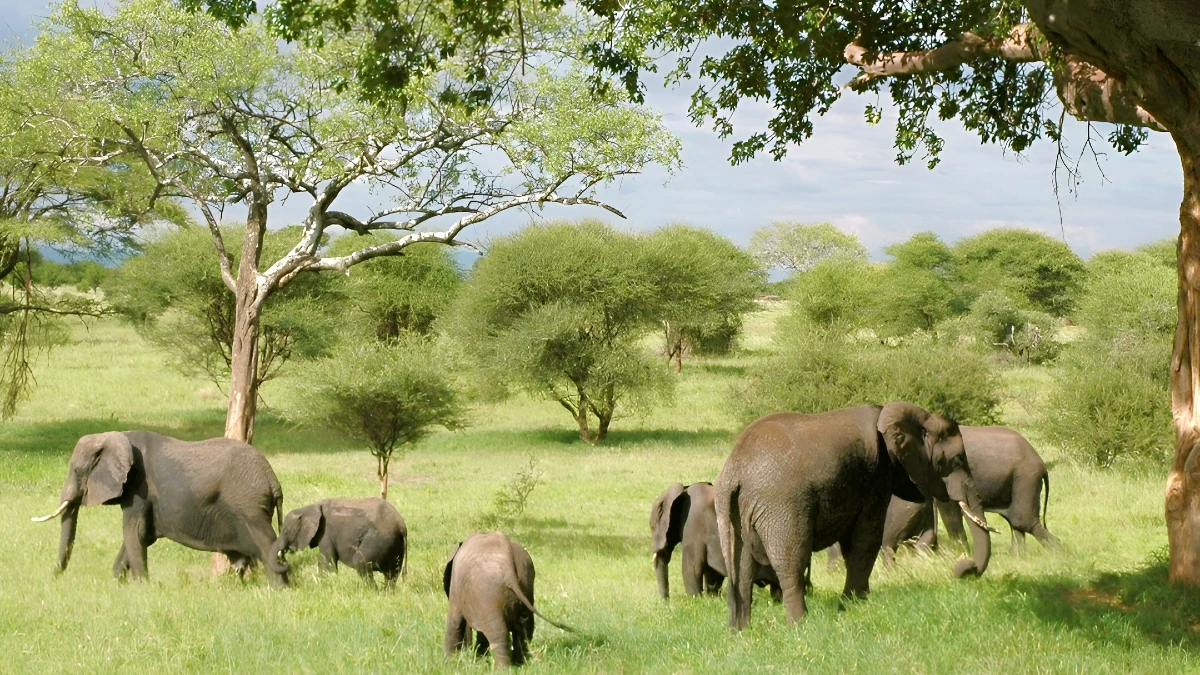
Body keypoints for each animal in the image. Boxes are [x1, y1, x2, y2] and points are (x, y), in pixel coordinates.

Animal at [31, 431, 287, 585]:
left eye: (77, 471)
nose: (53, 579)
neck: (115, 436)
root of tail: (272, 478)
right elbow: (140, 535)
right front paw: (118, 583)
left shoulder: (139, 489)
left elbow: (134, 533)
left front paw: (141, 586)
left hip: (249, 507)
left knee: (267, 545)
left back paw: (279, 589)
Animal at [268, 498, 408, 588]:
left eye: (286, 532)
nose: (284, 560)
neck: (310, 508)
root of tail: (401, 526)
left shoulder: (325, 533)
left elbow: (327, 562)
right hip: (395, 544)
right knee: (392, 573)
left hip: (379, 539)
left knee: (361, 562)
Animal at [444, 532, 572, 668]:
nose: (467, 648)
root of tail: (507, 562)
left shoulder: (457, 589)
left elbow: (454, 622)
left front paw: (448, 663)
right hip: (526, 582)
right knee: (525, 628)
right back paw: (521, 664)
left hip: (489, 593)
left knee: (498, 632)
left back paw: (504, 669)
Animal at [651, 482, 782, 600]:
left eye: (652, 527)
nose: (667, 603)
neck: (683, 491)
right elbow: (712, 572)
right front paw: (712, 599)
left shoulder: (692, 526)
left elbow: (691, 569)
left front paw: (695, 601)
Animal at [715, 402, 994, 629]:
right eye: (956, 461)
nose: (964, 569)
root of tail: (735, 471)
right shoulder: (876, 476)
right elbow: (866, 538)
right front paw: (855, 605)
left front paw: (854, 603)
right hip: (783, 506)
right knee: (791, 561)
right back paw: (800, 625)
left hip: (733, 510)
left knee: (742, 567)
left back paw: (740, 630)